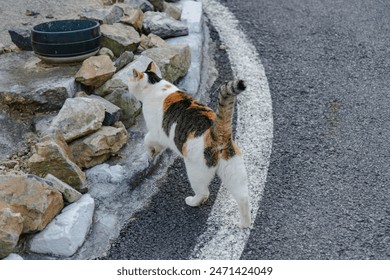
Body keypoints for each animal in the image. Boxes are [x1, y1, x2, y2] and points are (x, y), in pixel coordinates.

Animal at [128, 61, 250, 228]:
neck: (155, 85)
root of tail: (218, 131)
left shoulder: (156, 132)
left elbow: (147, 140)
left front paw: (151, 153)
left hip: (195, 170)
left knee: (204, 192)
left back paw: (192, 201)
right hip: (233, 170)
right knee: (243, 197)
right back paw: (245, 225)